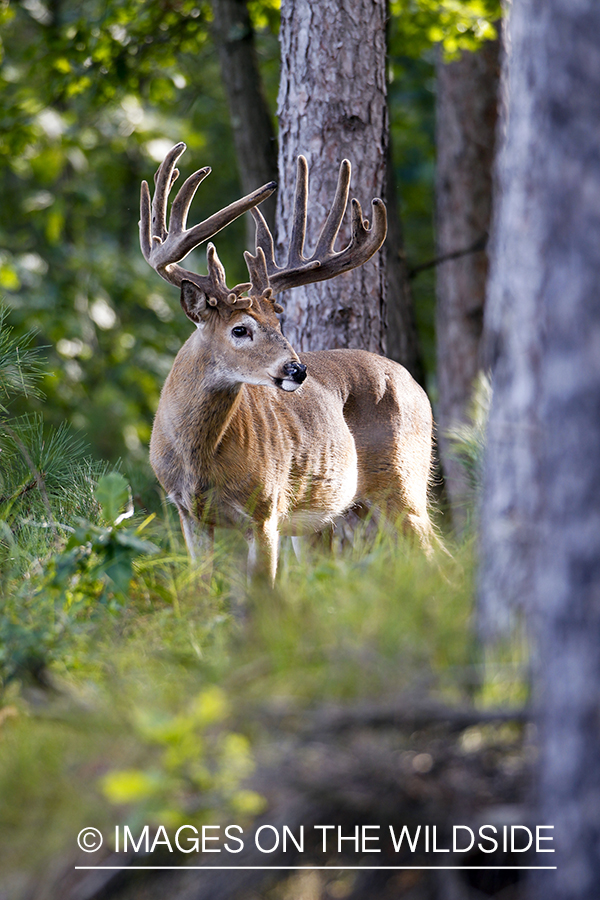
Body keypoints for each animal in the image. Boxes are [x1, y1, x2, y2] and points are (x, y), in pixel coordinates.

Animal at [143, 144, 434, 580]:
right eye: (240, 329)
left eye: (278, 323)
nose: (296, 369)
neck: (198, 460)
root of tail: (416, 385)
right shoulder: (188, 513)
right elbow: (202, 587)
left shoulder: (265, 506)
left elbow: (263, 587)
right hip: (327, 518)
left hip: (404, 481)